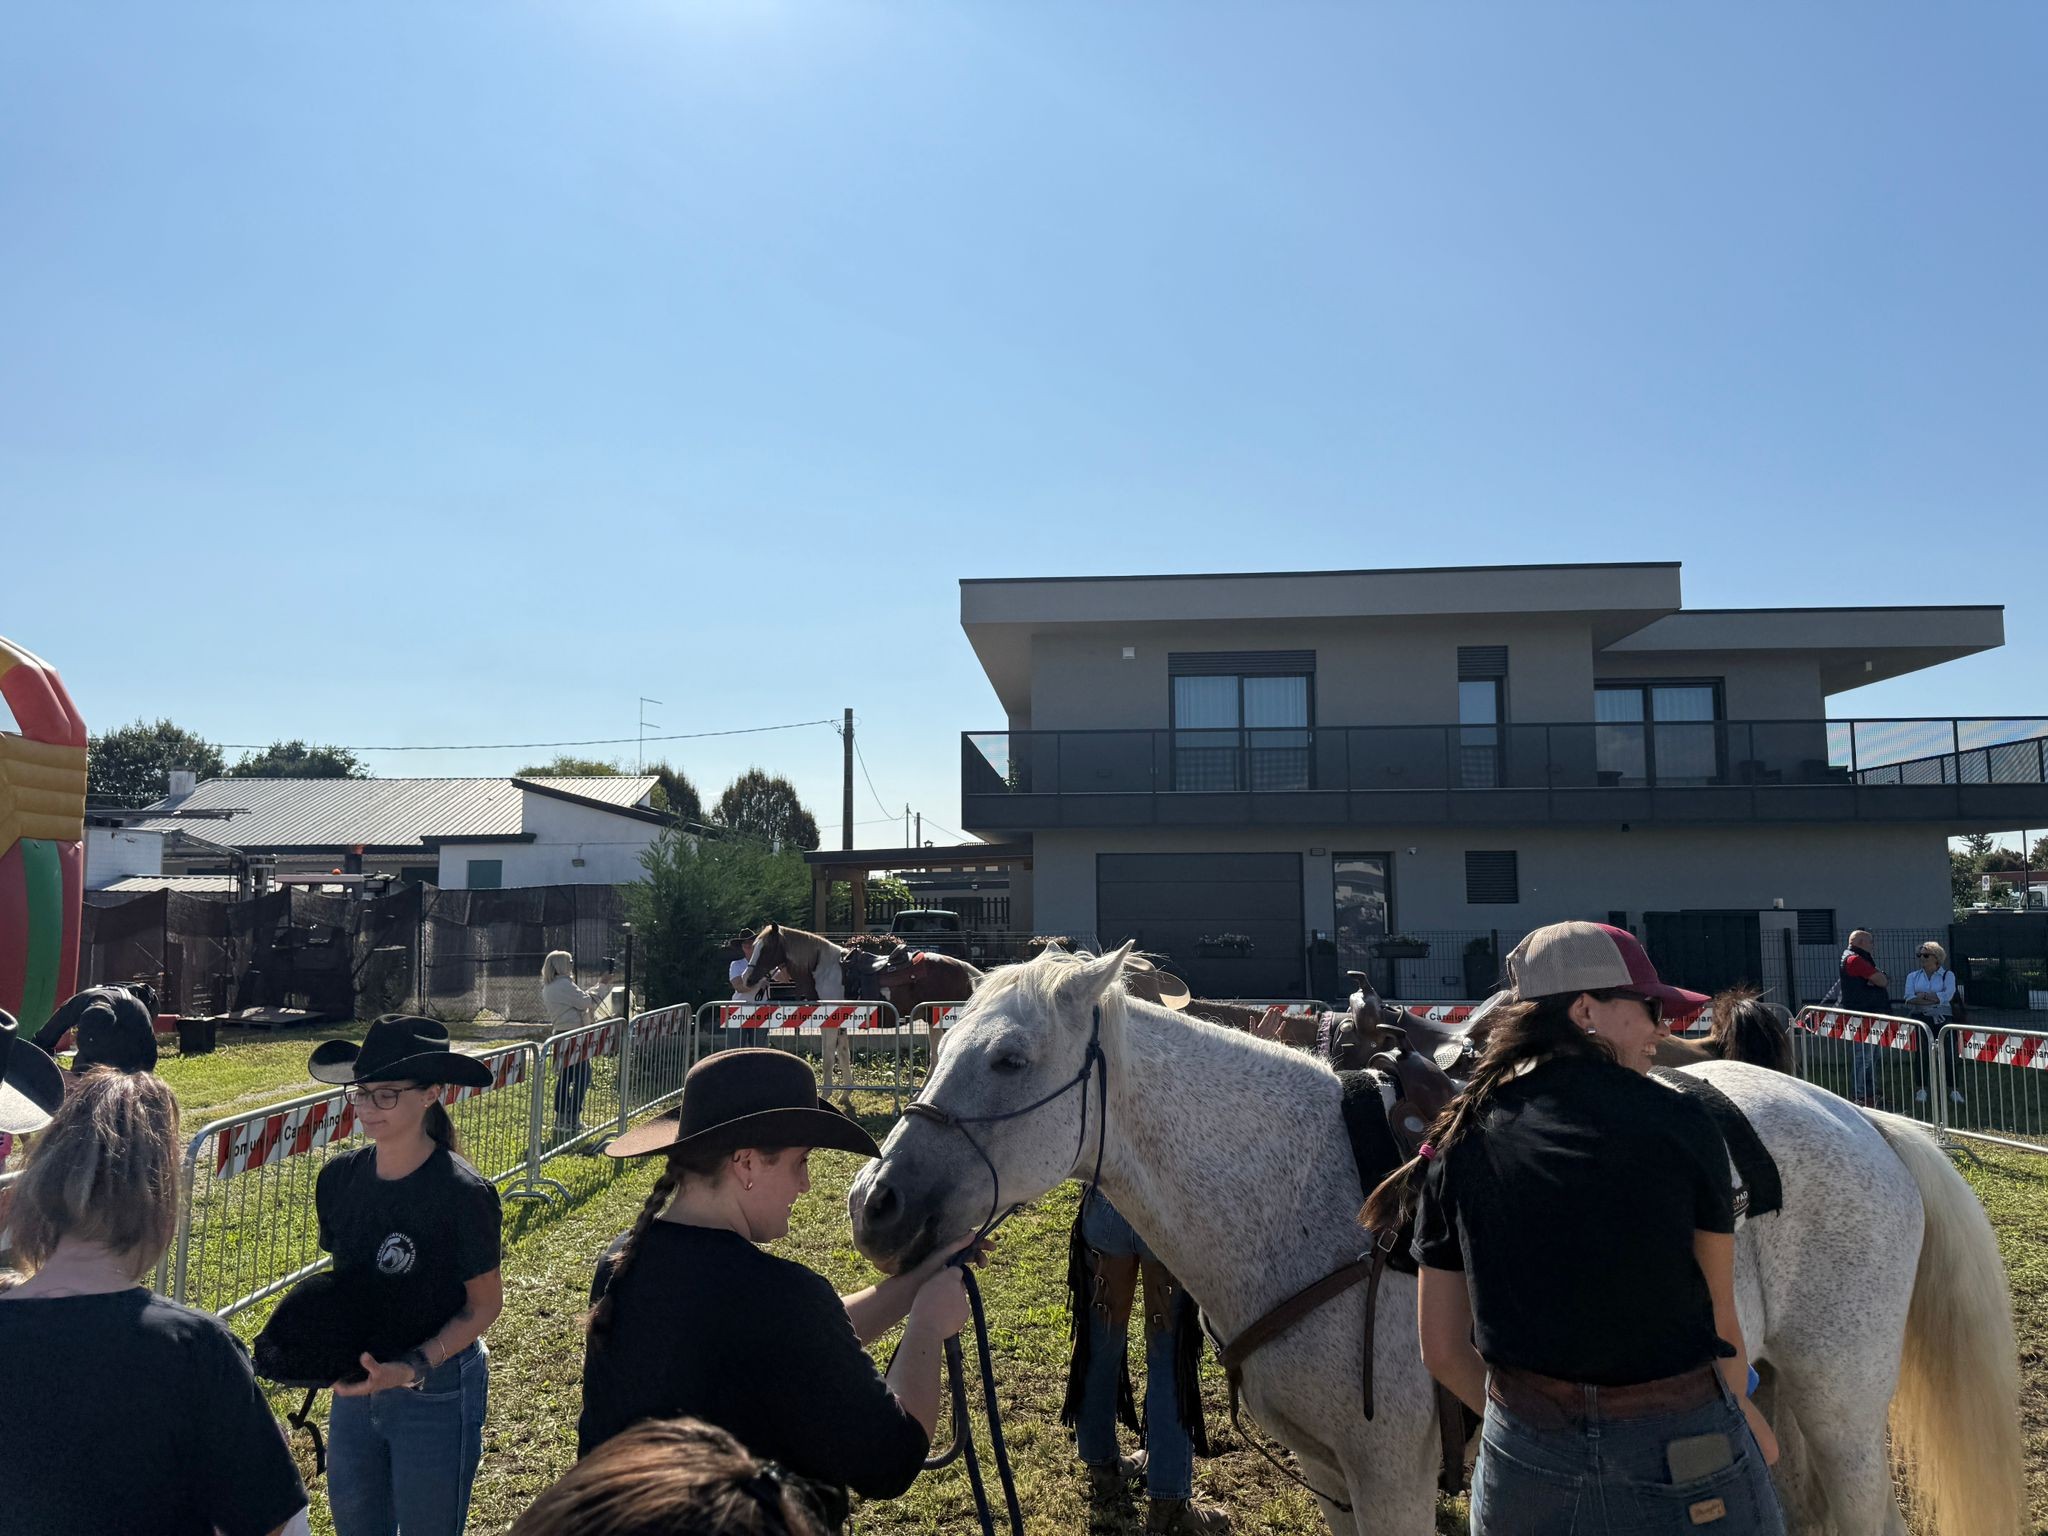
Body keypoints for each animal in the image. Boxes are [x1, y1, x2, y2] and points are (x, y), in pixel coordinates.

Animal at [850, 945, 2022, 1536]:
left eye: (1006, 1059)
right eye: (939, 1043)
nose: (875, 1203)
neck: (1300, 1194)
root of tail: (1864, 1122)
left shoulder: (1395, 1471)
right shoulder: (1335, 1481)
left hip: (1837, 1402)